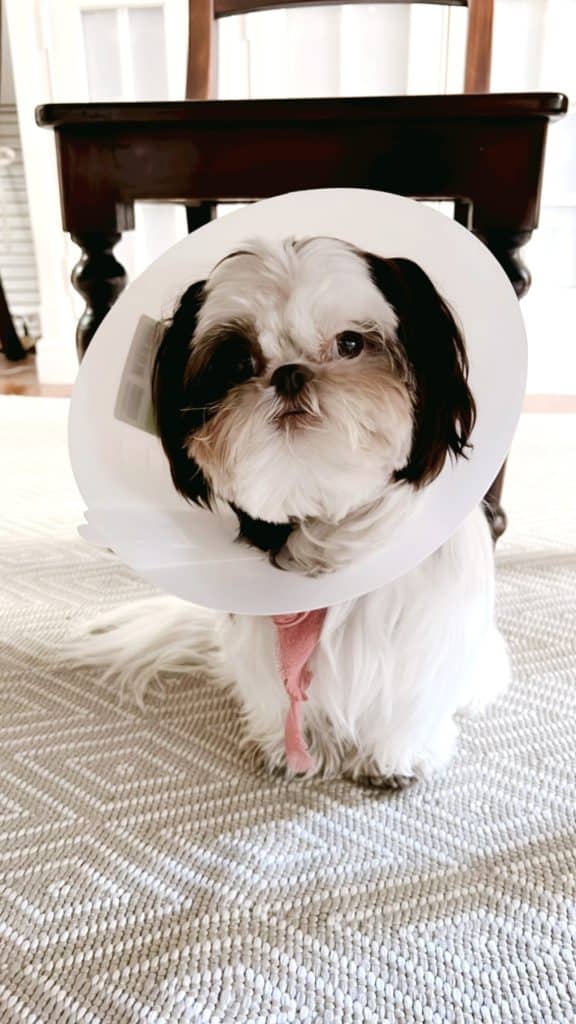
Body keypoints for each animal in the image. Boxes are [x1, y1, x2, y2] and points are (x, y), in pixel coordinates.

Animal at [73, 235, 508, 786]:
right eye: (237, 363)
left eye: (351, 343)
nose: (289, 374)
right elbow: (284, 693)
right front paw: (296, 750)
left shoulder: (424, 637)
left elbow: (409, 700)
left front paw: (397, 756)